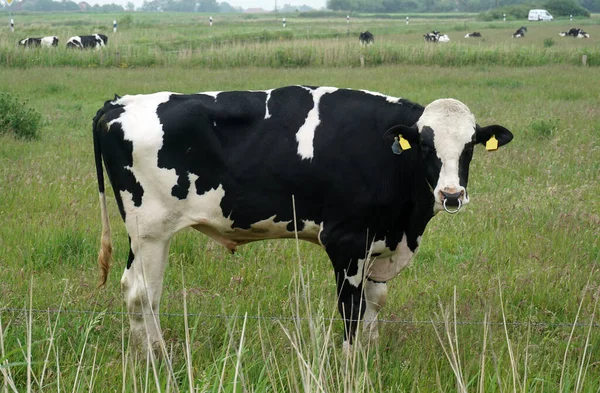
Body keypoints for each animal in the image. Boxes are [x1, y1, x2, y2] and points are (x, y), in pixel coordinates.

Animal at [91, 85, 512, 352]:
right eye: (425, 144)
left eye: (469, 146)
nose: (451, 195)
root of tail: (120, 103)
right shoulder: (346, 242)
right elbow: (351, 308)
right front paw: (350, 364)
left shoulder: (380, 244)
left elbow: (374, 303)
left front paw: (371, 355)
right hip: (150, 231)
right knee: (142, 293)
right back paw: (156, 357)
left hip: (143, 235)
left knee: (137, 291)